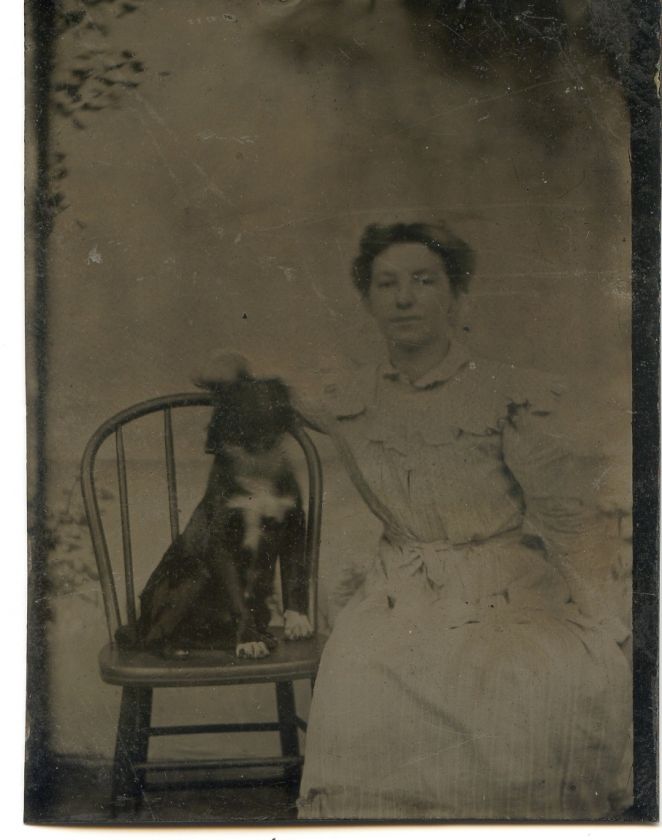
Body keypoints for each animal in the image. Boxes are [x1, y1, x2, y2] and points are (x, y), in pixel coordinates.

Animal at [118, 366, 314, 656]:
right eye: (231, 407)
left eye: (266, 399)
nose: (251, 422)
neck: (256, 468)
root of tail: (139, 622)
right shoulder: (222, 541)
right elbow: (237, 599)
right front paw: (248, 639)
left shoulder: (294, 525)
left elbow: (295, 576)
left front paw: (297, 622)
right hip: (193, 574)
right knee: (155, 636)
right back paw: (176, 649)